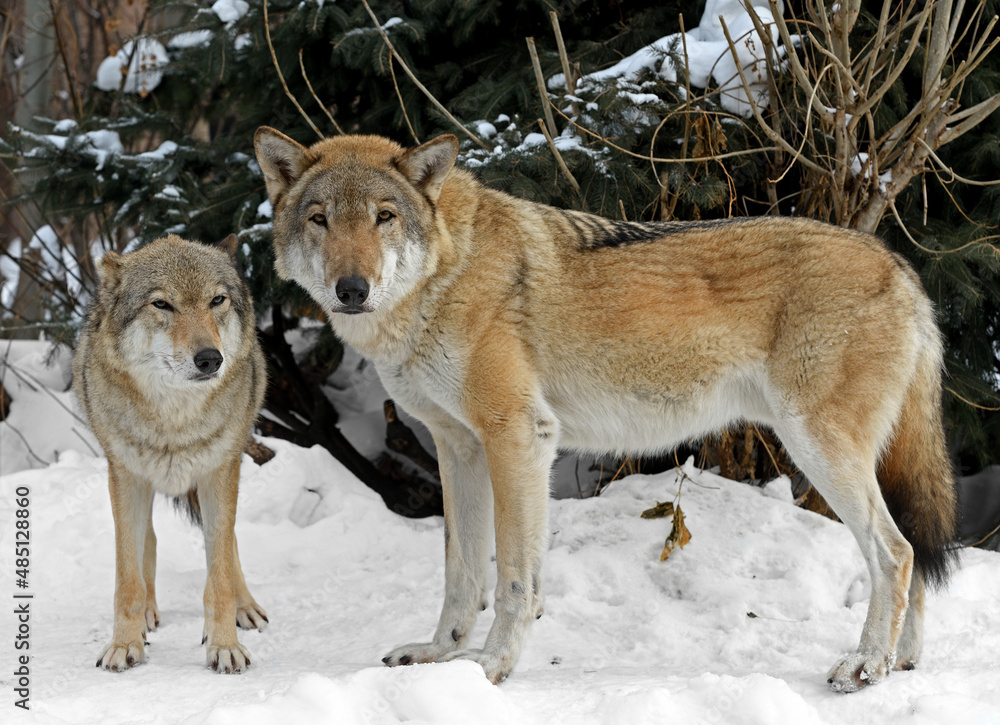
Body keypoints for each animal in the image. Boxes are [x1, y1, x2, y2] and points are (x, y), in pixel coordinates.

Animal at [73, 236, 268, 672]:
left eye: (217, 300)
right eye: (162, 304)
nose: (210, 358)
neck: (175, 424)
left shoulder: (219, 473)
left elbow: (219, 572)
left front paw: (224, 644)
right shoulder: (125, 476)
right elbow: (127, 577)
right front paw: (125, 644)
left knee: (227, 543)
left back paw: (245, 607)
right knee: (149, 538)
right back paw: (148, 614)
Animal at [254, 129, 956, 692]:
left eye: (384, 217)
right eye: (319, 219)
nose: (351, 289)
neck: (444, 276)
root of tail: (903, 267)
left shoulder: (519, 438)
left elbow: (515, 580)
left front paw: (491, 668)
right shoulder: (458, 449)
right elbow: (461, 575)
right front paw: (437, 656)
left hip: (818, 449)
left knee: (896, 553)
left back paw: (864, 665)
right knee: (914, 554)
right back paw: (900, 663)